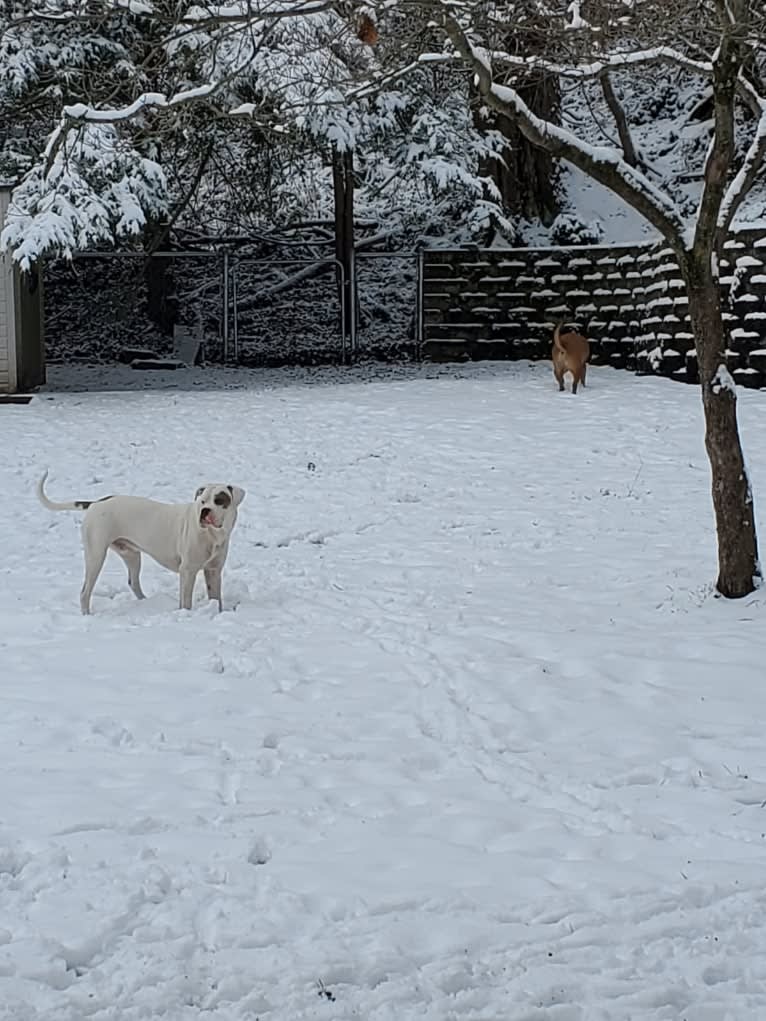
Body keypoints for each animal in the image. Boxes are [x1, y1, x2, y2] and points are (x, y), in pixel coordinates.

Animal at [37, 469, 246, 612]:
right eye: (202, 501)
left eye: (219, 500)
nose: (205, 511)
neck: (212, 535)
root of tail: (96, 503)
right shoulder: (188, 571)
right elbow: (185, 601)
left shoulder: (213, 570)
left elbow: (216, 598)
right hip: (96, 556)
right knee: (84, 592)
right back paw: (87, 615)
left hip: (131, 555)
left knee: (133, 582)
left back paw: (146, 602)